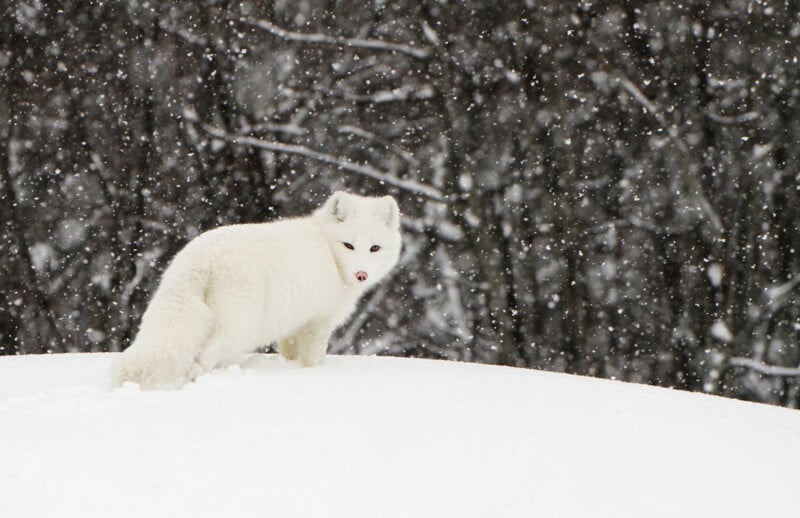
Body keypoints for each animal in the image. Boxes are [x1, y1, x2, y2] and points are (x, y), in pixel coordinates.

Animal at [112, 191, 402, 389]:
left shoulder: (292, 325)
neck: (328, 251)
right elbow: (313, 358)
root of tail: (201, 258)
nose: (361, 275)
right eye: (348, 245)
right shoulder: (319, 322)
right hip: (239, 328)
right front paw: (314, 373)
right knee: (203, 357)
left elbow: (289, 353)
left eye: (374, 248)